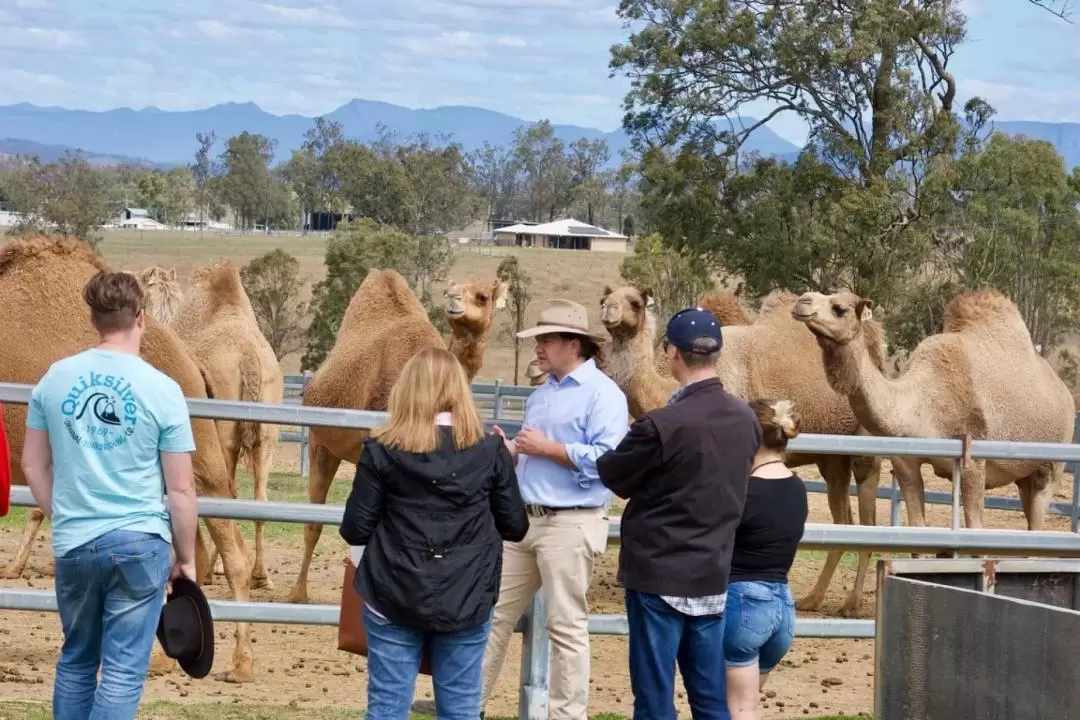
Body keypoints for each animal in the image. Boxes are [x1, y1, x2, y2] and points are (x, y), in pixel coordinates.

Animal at [162, 263, 285, 591]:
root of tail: (249, 357)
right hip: (268, 432)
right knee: (258, 498)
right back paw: (260, 576)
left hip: (223, 431)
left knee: (225, 493)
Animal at [287, 268, 505, 604]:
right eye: (449, 291)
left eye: (483, 296)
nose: (453, 301)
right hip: (320, 442)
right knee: (313, 521)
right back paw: (297, 594)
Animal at [600, 284, 885, 617]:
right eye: (606, 299)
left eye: (634, 302)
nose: (608, 311)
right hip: (832, 459)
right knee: (843, 520)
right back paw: (813, 599)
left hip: (864, 447)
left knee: (868, 519)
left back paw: (852, 604)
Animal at [790, 289, 1075, 533]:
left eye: (840, 309)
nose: (802, 301)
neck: (920, 405)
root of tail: (1066, 394)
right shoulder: (905, 463)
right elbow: (917, 527)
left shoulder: (974, 460)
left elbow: (974, 528)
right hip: (1024, 474)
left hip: (1052, 462)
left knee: (1038, 517)